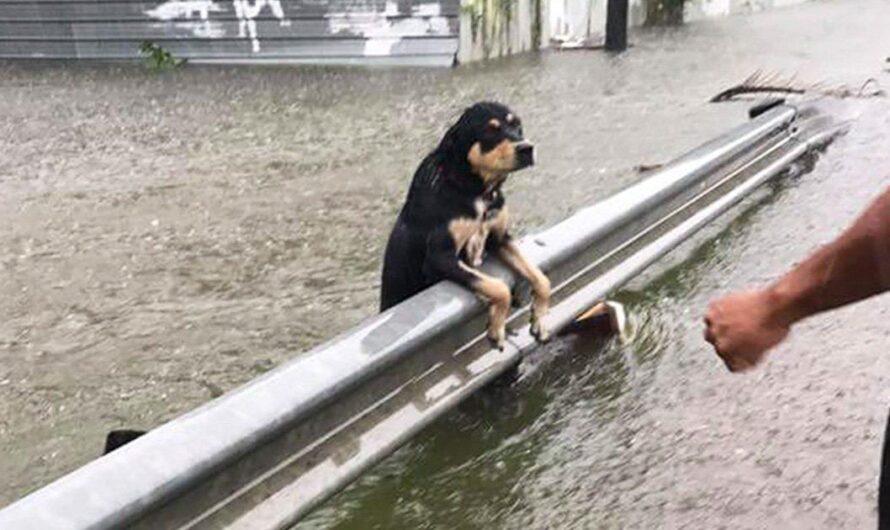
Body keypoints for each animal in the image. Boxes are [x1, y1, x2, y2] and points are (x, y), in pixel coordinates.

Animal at [380, 101, 548, 346]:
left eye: (517, 125)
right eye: (490, 131)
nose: (526, 148)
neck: (474, 190)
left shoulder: (500, 238)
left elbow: (541, 278)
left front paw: (540, 319)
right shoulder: (439, 257)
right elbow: (499, 287)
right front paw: (496, 328)